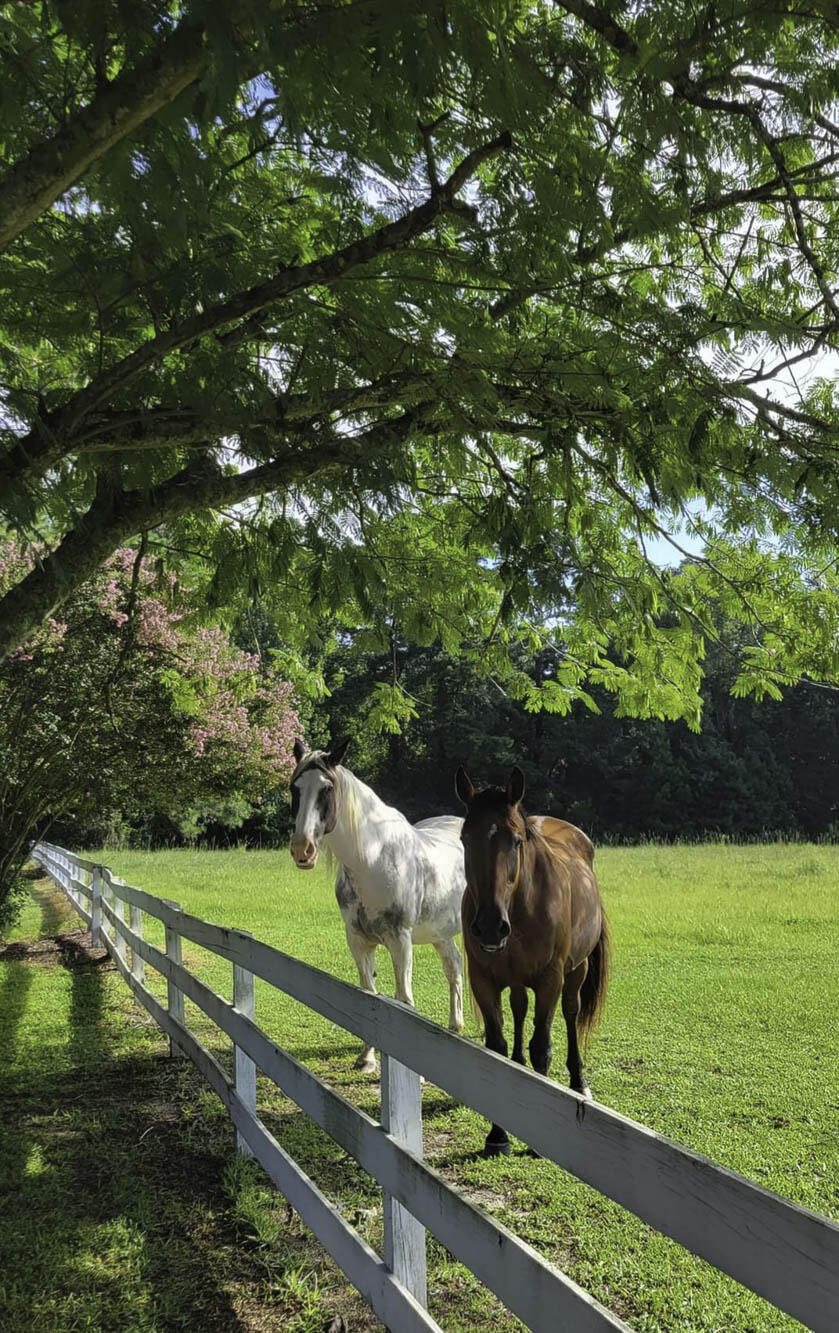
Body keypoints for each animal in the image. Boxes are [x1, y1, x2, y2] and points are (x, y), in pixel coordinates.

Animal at [289, 736, 465, 1072]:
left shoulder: (400, 940)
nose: (302, 850)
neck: (373, 861)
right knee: (454, 968)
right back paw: (456, 1026)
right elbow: (367, 994)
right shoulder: (358, 941)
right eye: (294, 788)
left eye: (326, 788)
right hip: (441, 933)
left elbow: (404, 999)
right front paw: (367, 1059)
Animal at [455, 763, 609, 1157]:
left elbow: (542, 1048)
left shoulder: (549, 979)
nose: (490, 927)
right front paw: (498, 1134)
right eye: (464, 839)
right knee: (520, 1010)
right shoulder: (483, 979)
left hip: (576, 971)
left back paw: (578, 1082)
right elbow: (496, 1048)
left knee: (570, 1014)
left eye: (516, 841)